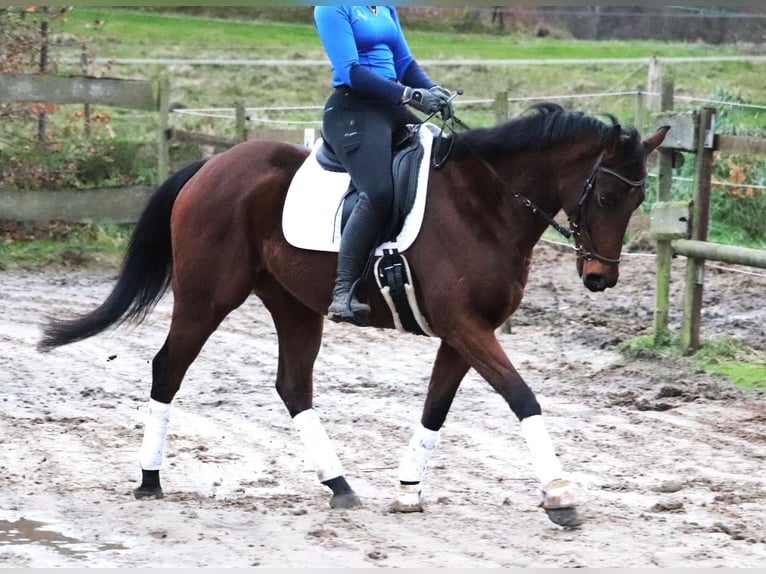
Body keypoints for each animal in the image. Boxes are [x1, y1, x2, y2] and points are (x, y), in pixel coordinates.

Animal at [39, 103, 668, 532]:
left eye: (638, 201)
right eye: (606, 198)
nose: (601, 278)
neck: (485, 206)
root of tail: (212, 165)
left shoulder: (461, 333)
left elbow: (435, 409)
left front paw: (408, 491)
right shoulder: (467, 328)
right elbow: (523, 397)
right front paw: (560, 495)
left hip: (293, 306)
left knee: (293, 386)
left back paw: (339, 485)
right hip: (205, 297)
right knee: (168, 368)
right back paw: (150, 480)